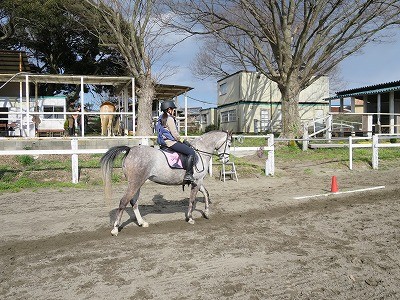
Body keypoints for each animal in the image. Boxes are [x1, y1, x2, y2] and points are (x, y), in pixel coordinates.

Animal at [99, 130, 231, 236]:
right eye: (229, 144)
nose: (226, 159)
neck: (200, 152)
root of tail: (130, 149)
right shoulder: (197, 181)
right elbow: (192, 200)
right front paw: (190, 218)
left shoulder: (198, 181)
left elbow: (206, 193)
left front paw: (207, 213)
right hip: (135, 183)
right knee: (123, 201)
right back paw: (115, 229)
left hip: (137, 183)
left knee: (133, 202)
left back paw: (142, 223)